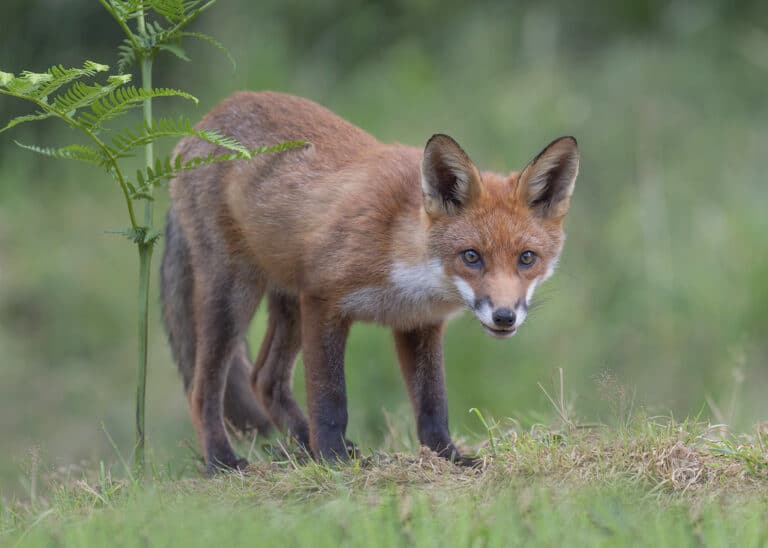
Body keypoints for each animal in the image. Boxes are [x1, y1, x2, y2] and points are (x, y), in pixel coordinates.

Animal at [160, 91, 579, 472]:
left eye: (527, 258)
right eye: (471, 256)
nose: (504, 317)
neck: (404, 263)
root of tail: (200, 126)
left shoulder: (419, 324)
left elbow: (433, 405)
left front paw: (450, 457)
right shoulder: (323, 300)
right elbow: (331, 399)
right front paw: (333, 460)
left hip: (288, 303)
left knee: (264, 379)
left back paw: (304, 445)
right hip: (235, 296)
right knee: (203, 390)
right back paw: (223, 460)